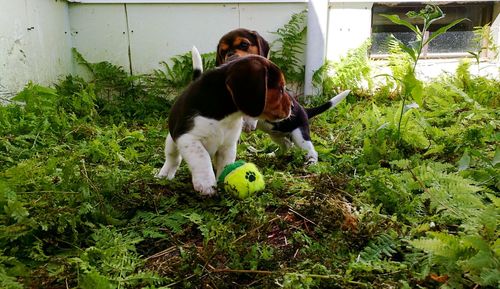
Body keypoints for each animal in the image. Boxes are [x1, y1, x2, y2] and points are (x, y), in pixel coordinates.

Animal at [157, 54, 292, 195]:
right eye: (281, 89)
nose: (292, 106)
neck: (226, 116)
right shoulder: (188, 138)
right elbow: (202, 158)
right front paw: (206, 184)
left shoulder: (228, 145)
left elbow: (225, 163)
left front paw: (223, 182)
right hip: (171, 142)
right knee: (173, 159)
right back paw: (164, 175)